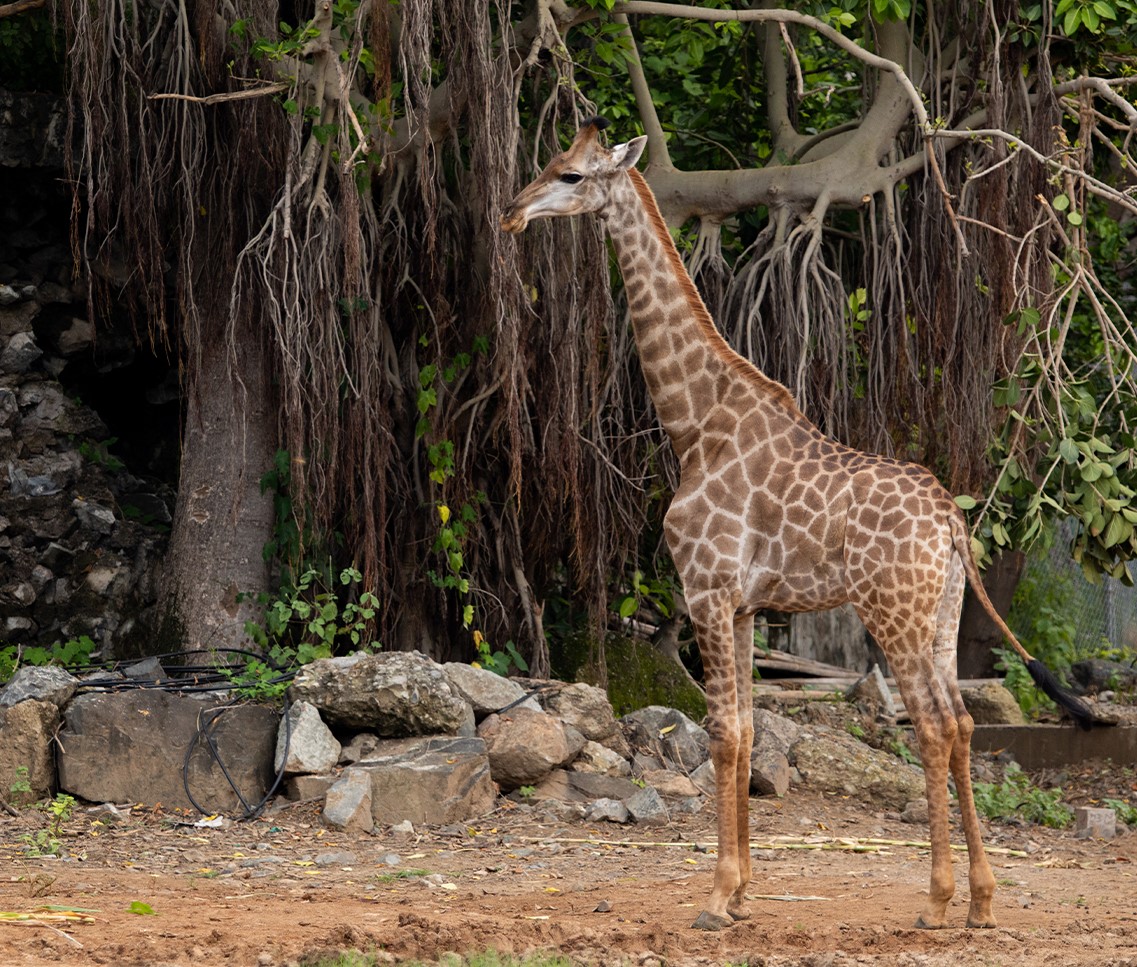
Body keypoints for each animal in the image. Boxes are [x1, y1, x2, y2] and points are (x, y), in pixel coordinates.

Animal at [502, 116, 1096, 932]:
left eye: (569, 174)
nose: (512, 212)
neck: (696, 425)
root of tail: (949, 518)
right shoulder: (745, 605)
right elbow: (749, 732)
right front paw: (743, 892)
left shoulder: (707, 590)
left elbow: (723, 734)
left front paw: (716, 896)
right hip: (942, 612)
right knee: (964, 721)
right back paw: (981, 900)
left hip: (892, 611)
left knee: (932, 724)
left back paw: (937, 900)